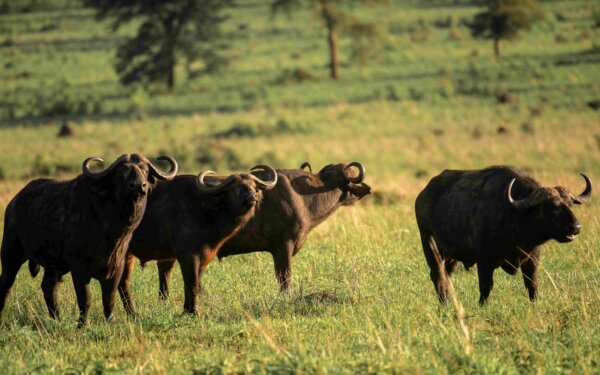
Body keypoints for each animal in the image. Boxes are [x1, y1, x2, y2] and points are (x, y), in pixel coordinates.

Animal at [0, 154, 177, 324]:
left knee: (48, 287)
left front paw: (110, 321)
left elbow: (109, 298)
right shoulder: (78, 267)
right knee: (6, 284)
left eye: (145, 170)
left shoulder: (117, 266)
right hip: (11, 253)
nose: (140, 186)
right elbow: (85, 298)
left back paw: (56, 319)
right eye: (121, 172)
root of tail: (14, 202)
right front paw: (82, 324)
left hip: (54, 266)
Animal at [120, 166, 278, 316]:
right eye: (234, 187)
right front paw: (193, 312)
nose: (252, 196)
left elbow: (192, 284)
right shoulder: (188, 256)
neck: (206, 210)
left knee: (123, 283)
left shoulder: (203, 257)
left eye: (254, 186)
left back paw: (132, 313)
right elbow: (193, 284)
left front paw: (187, 310)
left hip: (128, 255)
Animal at [414, 167, 592, 306]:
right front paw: (482, 306)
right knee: (438, 275)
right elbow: (486, 286)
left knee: (447, 276)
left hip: (452, 256)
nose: (576, 227)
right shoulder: (484, 261)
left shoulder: (532, 258)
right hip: (429, 243)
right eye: (553, 206)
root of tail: (422, 195)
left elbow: (532, 285)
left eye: (570, 204)